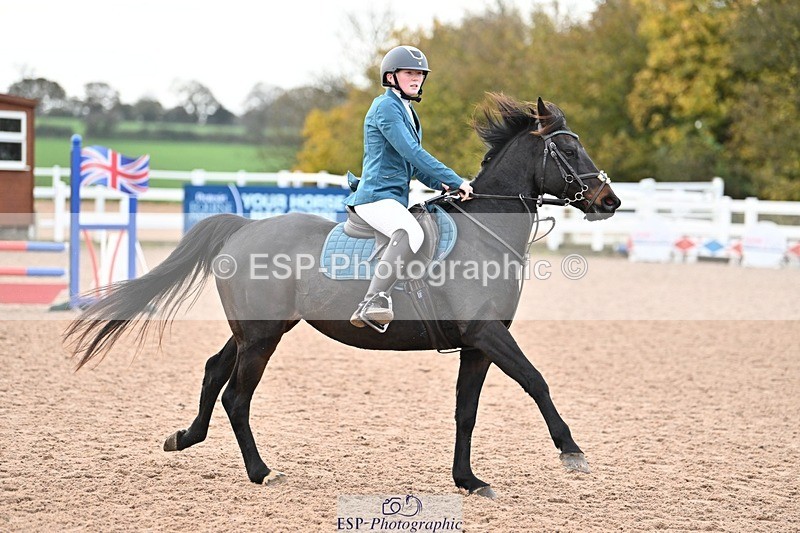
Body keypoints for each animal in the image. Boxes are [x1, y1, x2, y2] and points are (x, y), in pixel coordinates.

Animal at [65, 94, 621, 499]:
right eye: (569, 151)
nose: (609, 200)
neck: (484, 230)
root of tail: (244, 228)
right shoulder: (486, 334)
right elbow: (536, 381)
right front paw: (572, 452)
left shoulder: (478, 343)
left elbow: (467, 411)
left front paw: (468, 481)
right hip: (262, 337)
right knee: (237, 397)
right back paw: (261, 472)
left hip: (256, 330)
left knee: (213, 370)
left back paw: (184, 438)